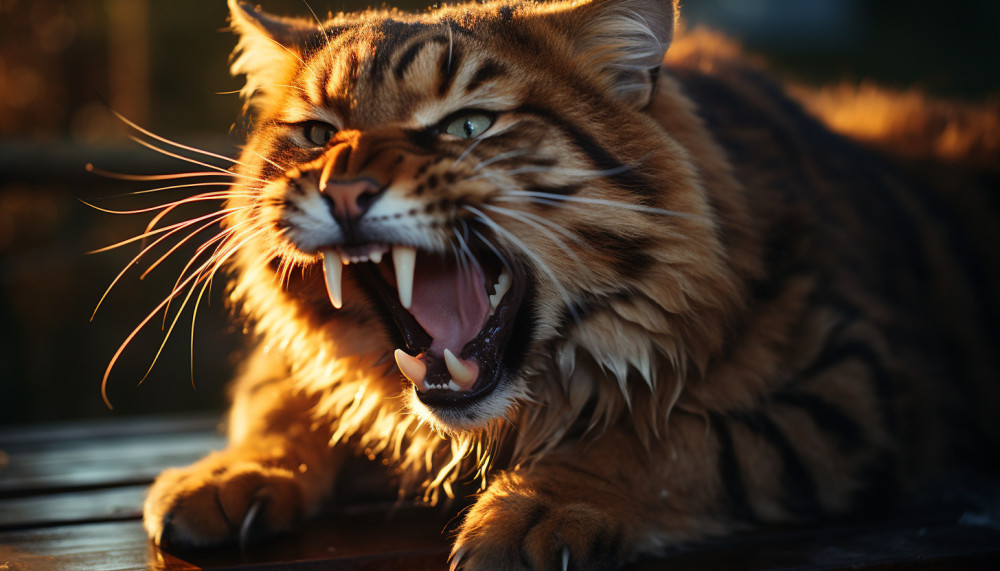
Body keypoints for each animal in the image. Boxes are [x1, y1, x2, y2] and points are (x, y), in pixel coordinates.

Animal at [136, 0, 1000, 568]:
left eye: (466, 125)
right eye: (316, 133)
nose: (343, 189)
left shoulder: (848, 382)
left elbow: (673, 437)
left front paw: (533, 510)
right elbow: (282, 407)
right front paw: (226, 476)